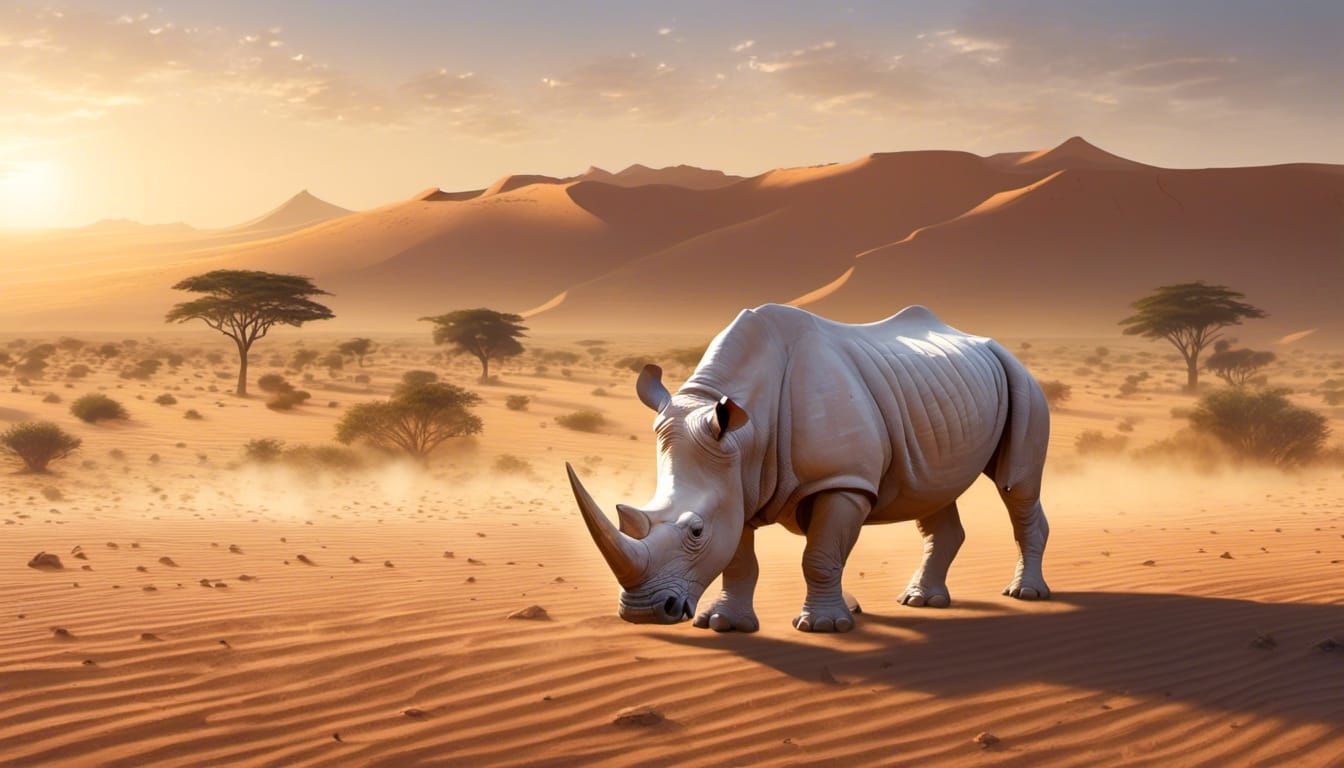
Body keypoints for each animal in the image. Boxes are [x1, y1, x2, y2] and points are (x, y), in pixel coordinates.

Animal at [566, 304, 1050, 633]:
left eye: (696, 531)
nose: (642, 612)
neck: (744, 434)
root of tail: (990, 342)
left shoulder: (841, 481)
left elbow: (818, 556)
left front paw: (824, 628)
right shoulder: (737, 483)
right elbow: (739, 560)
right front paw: (725, 625)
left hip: (1022, 379)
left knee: (1017, 487)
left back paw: (1026, 594)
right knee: (932, 491)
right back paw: (920, 602)